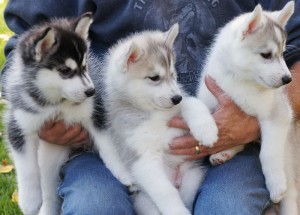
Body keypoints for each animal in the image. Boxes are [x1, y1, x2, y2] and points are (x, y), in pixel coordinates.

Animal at [3, 13, 122, 215]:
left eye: (85, 66)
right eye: (65, 70)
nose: (91, 91)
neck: (56, 103)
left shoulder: (95, 114)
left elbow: (108, 145)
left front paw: (124, 174)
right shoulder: (19, 126)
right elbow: (27, 168)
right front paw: (29, 201)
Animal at [101, 23, 218, 215]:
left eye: (173, 74)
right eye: (154, 77)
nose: (177, 98)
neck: (153, 112)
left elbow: (192, 103)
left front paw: (206, 130)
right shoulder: (143, 161)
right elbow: (165, 192)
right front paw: (178, 212)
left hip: (193, 177)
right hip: (144, 202)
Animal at [197, 0, 296, 212]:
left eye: (282, 53)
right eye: (266, 55)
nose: (288, 79)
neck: (241, 80)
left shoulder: (278, 115)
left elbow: (268, 153)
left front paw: (275, 184)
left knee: (292, 193)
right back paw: (224, 153)